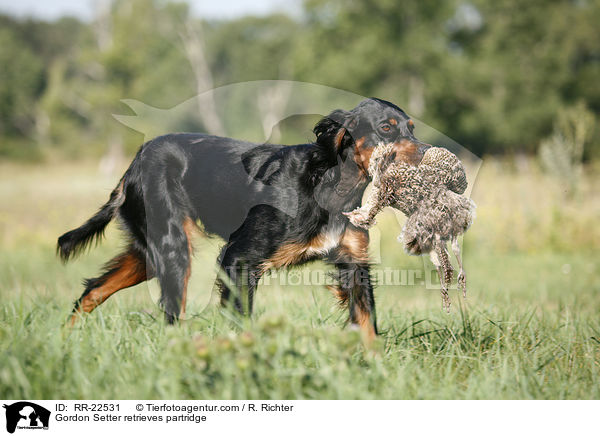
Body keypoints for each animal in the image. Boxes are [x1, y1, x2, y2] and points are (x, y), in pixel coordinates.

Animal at [58, 99, 428, 338]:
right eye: (386, 128)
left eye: (411, 128)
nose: (427, 152)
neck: (330, 184)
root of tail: (135, 161)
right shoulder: (239, 260)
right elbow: (244, 322)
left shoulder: (354, 262)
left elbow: (367, 325)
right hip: (172, 248)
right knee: (171, 316)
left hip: (149, 254)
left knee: (92, 291)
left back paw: (64, 340)